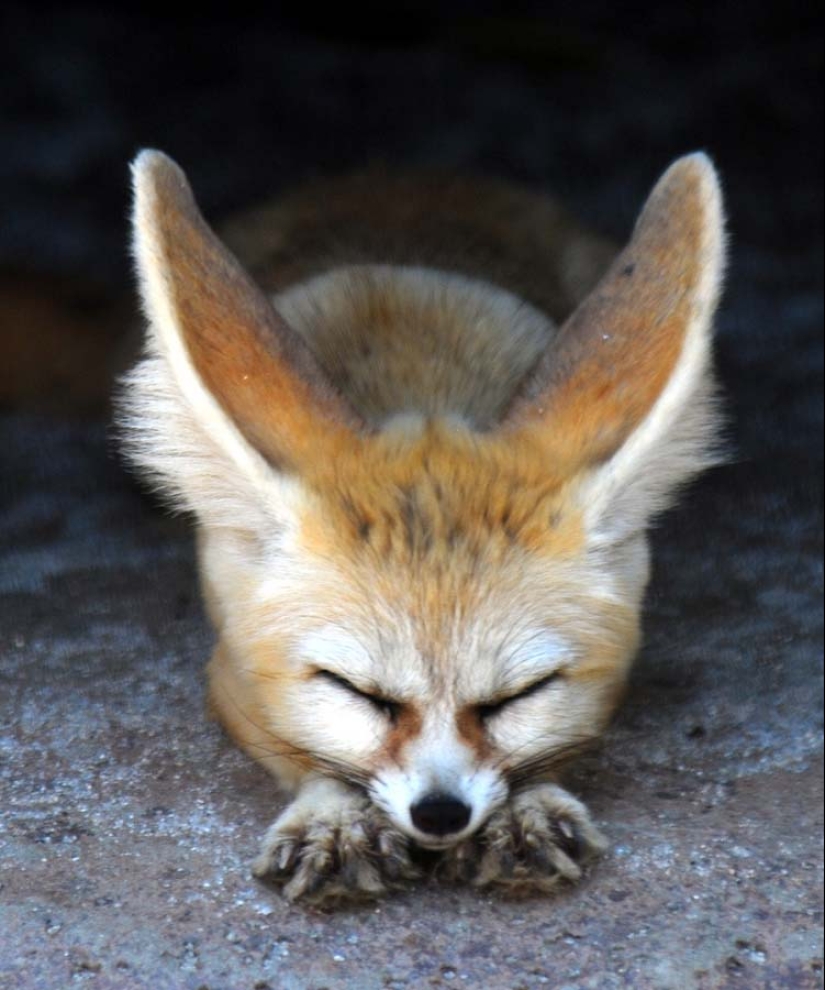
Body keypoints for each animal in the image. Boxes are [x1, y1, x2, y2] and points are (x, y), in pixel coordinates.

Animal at [120, 149, 725, 906]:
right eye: (355, 692)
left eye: (519, 697)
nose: (440, 814)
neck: (417, 367)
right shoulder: (233, 682)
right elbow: (307, 751)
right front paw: (335, 816)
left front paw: (523, 809)